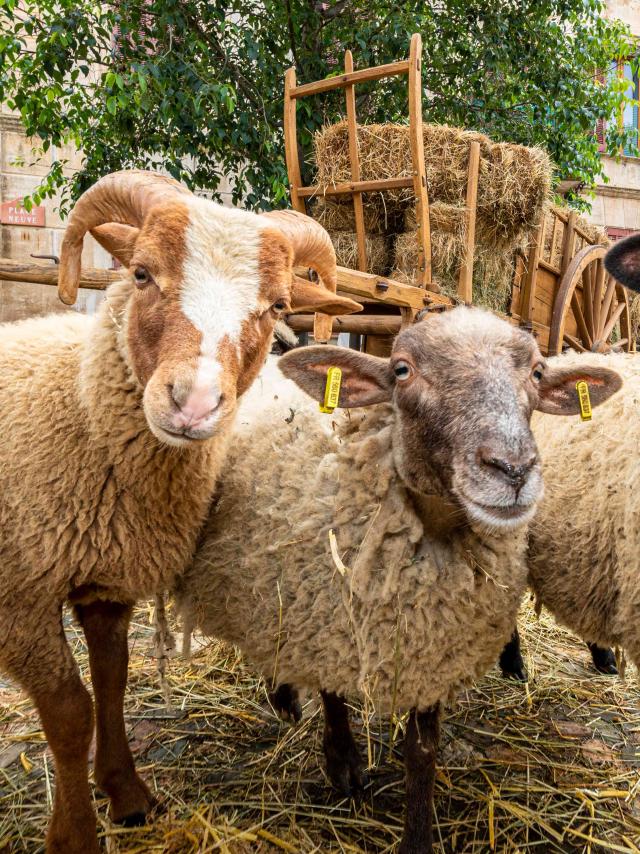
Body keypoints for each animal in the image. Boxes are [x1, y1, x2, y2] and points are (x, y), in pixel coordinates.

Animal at [0, 169, 360, 854]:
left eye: (277, 306)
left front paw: (128, 796)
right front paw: (76, 834)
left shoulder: (105, 580)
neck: (80, 414)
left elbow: (112, 682)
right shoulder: (18, 599)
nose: (194, 403)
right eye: (141, 273)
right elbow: (71, 711)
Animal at [176, 308, 620, 854]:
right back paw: (282, 696)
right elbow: (332, 695)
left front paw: (417, 830)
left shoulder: (434, 648)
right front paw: (343, 763)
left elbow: (422, 751)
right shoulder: (326, 619)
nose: (513, 469)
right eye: (402, 370)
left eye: (538, 372)